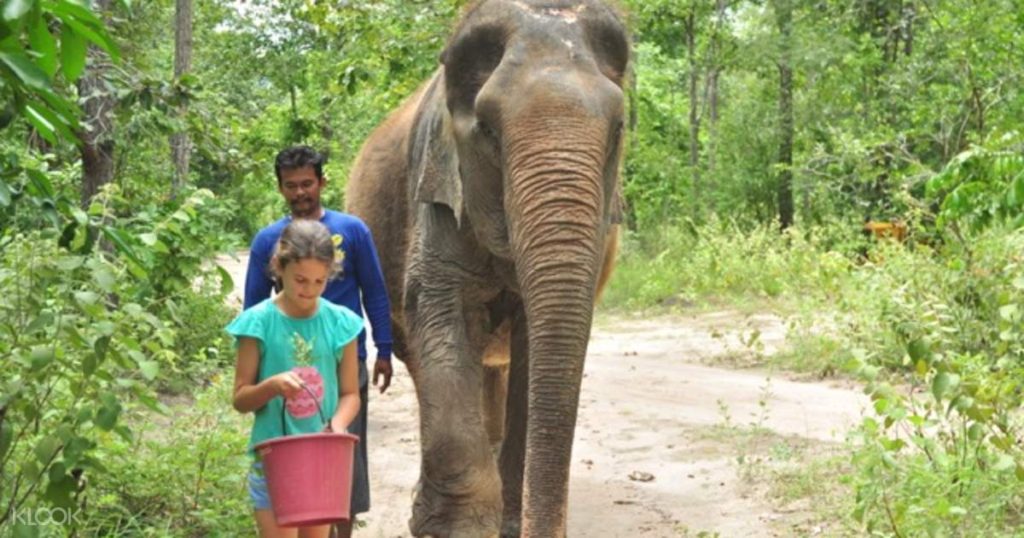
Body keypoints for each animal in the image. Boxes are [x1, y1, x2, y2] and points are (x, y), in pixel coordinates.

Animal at [348, 3, 626, 532]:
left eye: (619, 129)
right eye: (489, 130)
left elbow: (535, 348)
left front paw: (508, 525)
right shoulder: (435, 192)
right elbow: (443, 316)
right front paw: (450, 530)